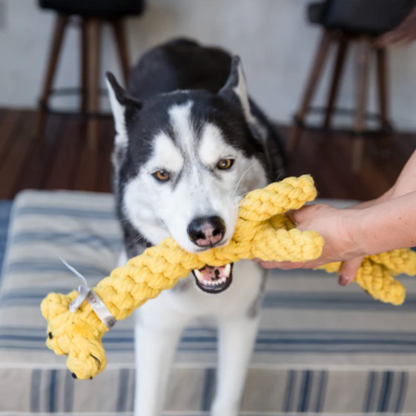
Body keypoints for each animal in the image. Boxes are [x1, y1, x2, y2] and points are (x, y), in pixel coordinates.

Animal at [105, 39, 284, 416]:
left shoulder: (240, 322)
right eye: (161, 174)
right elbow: (148, 402)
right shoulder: (156, 330)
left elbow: (227, 399)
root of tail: (183, 43)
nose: (206, 231)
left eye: (225, 163)